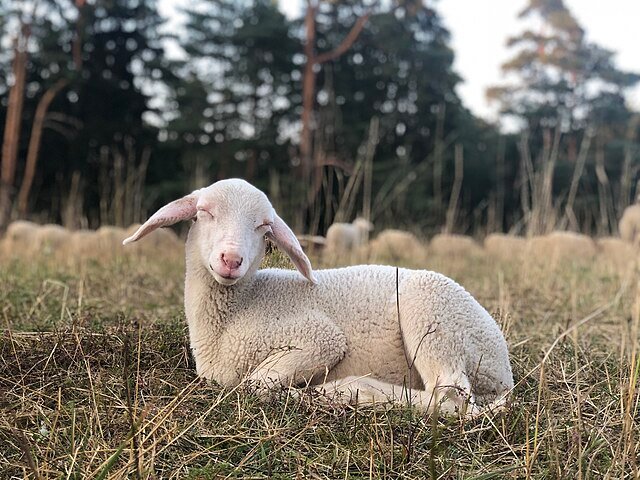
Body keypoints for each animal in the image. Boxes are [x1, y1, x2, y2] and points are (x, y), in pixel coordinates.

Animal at [124, 178, 516, 414]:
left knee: (449, 397)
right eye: (204, 212)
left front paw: (299, 392)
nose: (231, 260)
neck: (241, 306)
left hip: (434, 318)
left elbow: (254, 384)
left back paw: (349, 392)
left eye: (263, 226)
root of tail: (504, 372)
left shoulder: (319, 338)